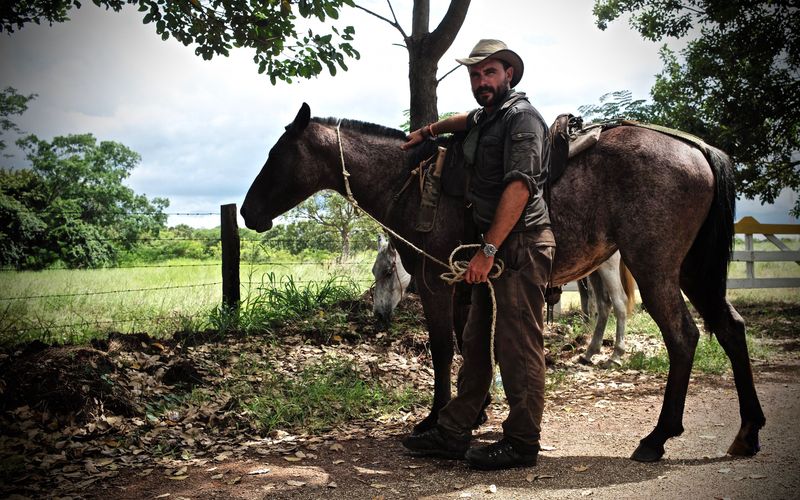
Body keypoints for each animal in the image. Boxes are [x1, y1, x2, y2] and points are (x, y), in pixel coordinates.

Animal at [241, 103, 764, 462]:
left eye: (276, 155)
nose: (247, 212)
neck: (416, 184)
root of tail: (696, 148)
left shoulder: (437, 284)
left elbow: (442, 349)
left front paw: (434, 419)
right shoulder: (467, 282)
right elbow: (472, 345)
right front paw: (474, 414)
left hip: (656, 270)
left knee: (683, 337)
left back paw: (657, 437)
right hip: (693, 271)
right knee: (731, 329)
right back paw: (748, 430)